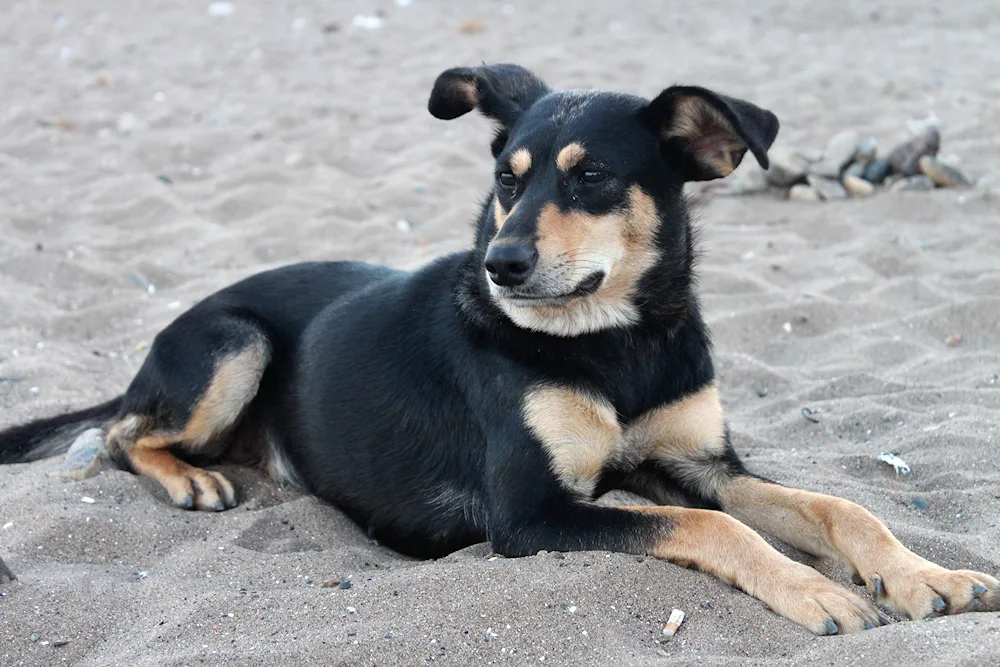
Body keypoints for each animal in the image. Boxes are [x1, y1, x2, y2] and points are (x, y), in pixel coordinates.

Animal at [1, 65, 1000, 636]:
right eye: (504, 180)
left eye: (591, 175)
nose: (500, 263)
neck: (616, 342)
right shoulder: (531, 514)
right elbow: (713, 528)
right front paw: (816, 592)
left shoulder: (696, 462)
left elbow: (838, 506)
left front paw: (929, 576)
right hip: (231, 340)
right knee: (120, 435)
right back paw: (188, 478)